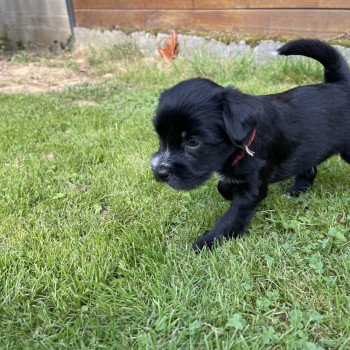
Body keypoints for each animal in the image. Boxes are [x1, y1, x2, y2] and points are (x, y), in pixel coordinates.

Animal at [150, 39, 350, 250]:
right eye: (160, 137)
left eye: (193, 142)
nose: (159, 172)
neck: (245, 143)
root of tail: (341, 84)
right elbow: (223, 186)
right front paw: (228, 192)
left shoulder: (253, 187)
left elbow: (232, 218)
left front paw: (206, 243)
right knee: (309, 169)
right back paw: (296, 191)